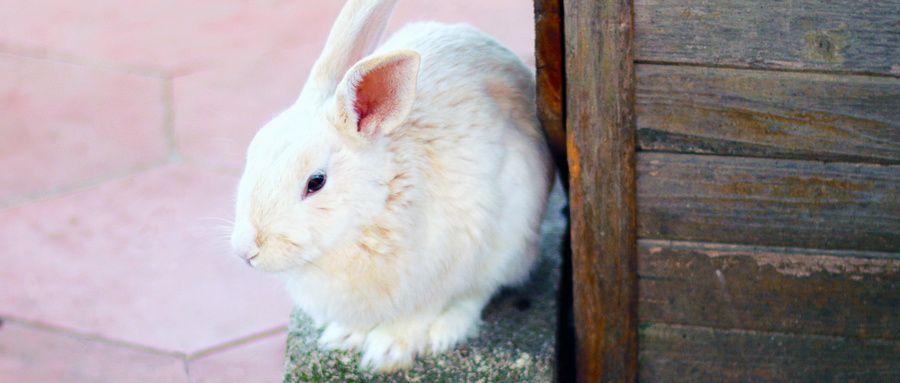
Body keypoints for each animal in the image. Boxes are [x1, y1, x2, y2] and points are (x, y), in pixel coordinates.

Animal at [230, 0, 556, 372]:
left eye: (316, 182)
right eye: (252, 152)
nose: (246, 251)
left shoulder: (448, 265)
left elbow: (425, 311)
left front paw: (387, 351)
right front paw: (344, 337)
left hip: (513, 235)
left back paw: (447, 329)